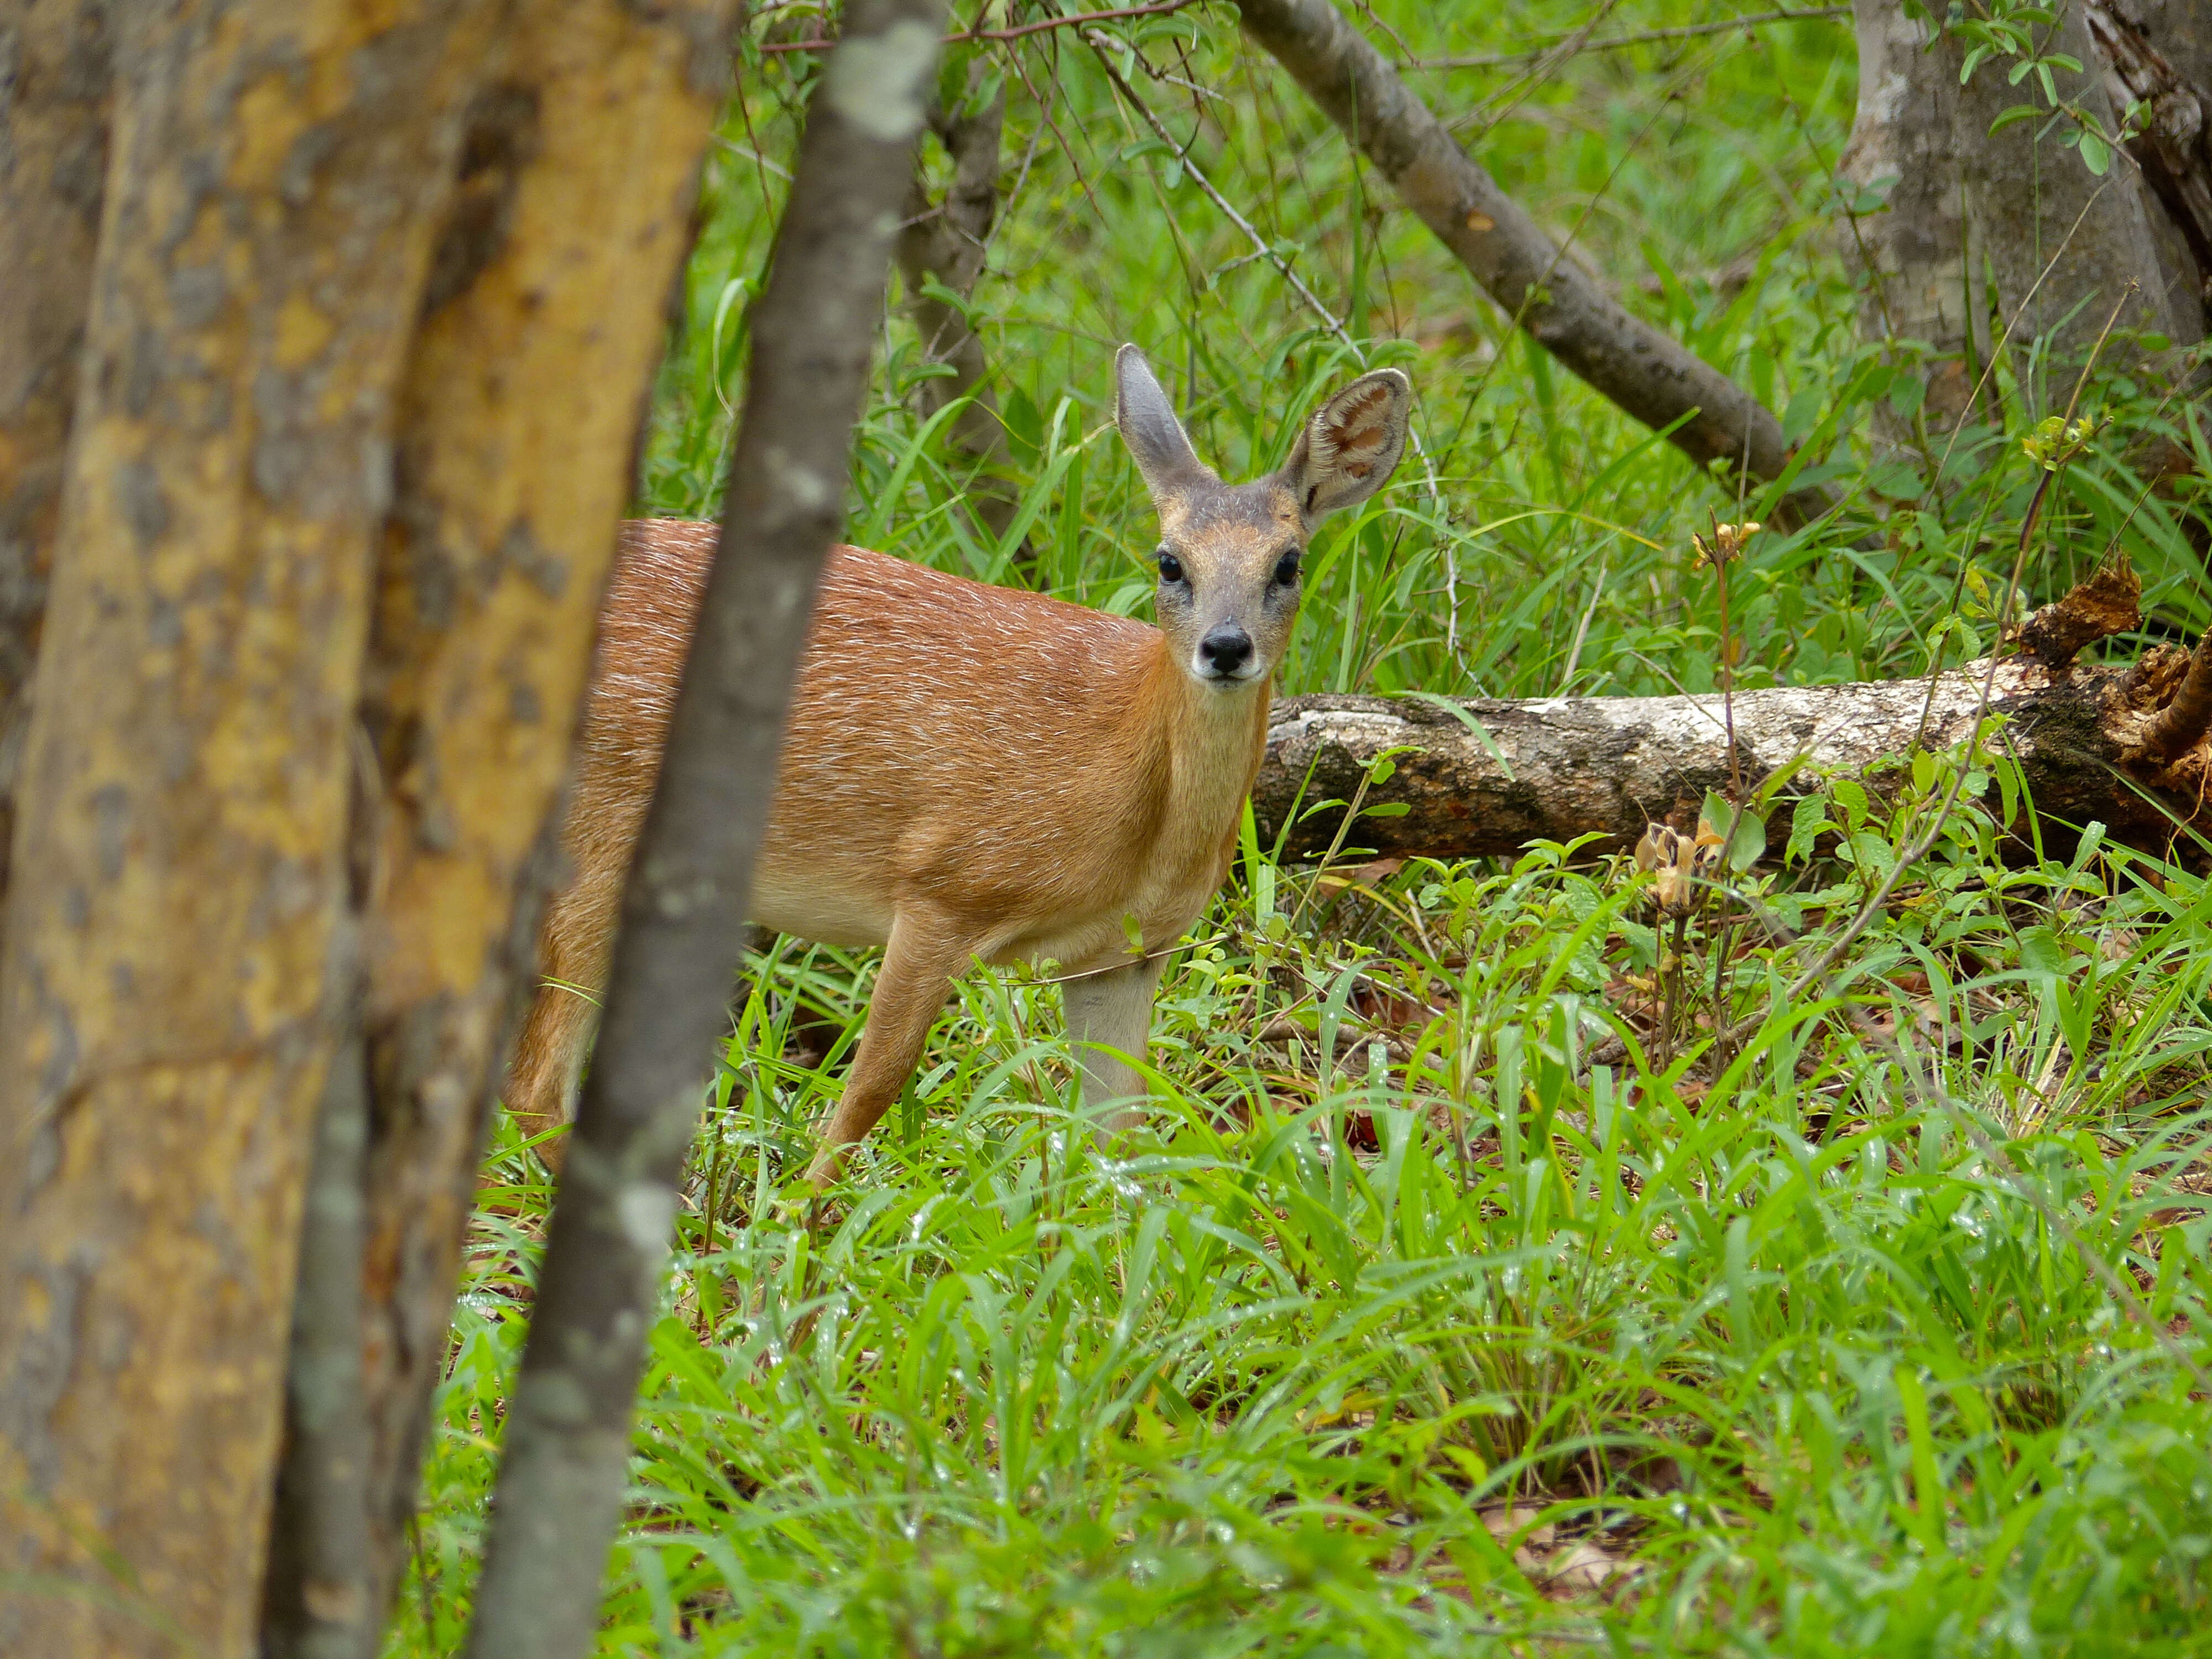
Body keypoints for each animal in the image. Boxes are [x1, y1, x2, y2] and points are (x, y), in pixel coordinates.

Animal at [507, 347, 1407, 1186]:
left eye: (1288, 563)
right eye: (1169, 560)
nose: (1225, 647)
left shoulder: (1127, 954)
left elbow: (1115, 1141)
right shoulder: (945, 884)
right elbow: (867, 1094)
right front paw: (801, 1224)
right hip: (597, 840)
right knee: (535, 1086)